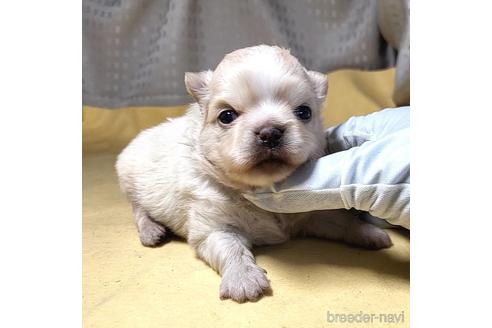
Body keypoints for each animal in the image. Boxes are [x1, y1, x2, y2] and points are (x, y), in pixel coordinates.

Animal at [116, 45, 392, 302]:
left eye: (304, 112)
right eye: (226, 116)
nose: (270, 132)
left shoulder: (311, 215)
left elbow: (342, 222)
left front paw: (371, 234)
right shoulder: (213, 226)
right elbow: (231, 248)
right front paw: (243, 280)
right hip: (129, 179)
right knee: (138, 210)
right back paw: (151, 230)